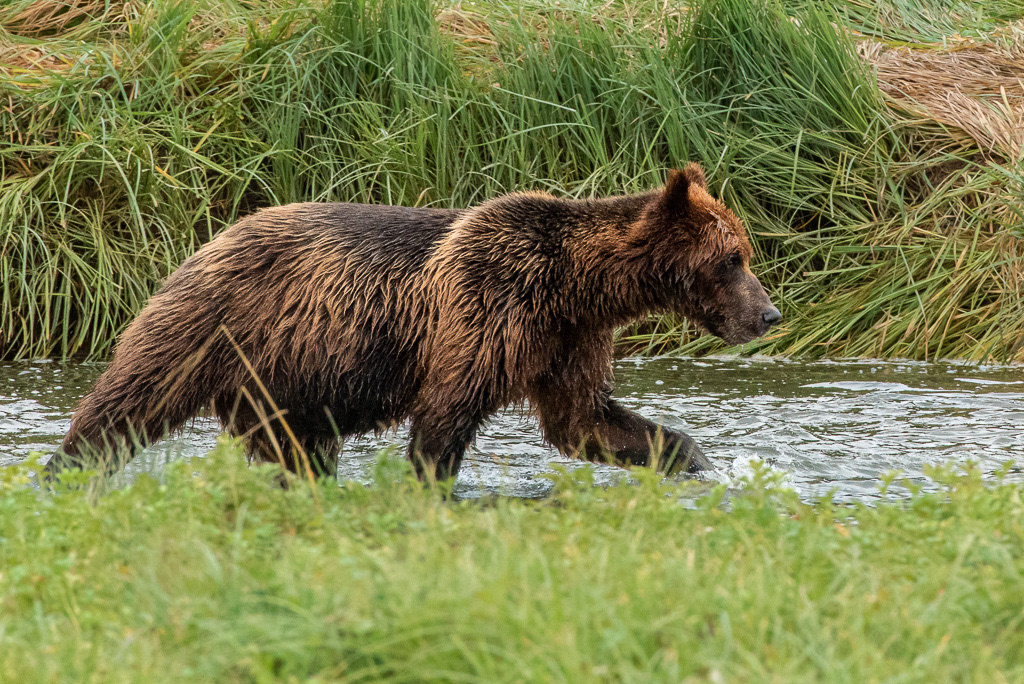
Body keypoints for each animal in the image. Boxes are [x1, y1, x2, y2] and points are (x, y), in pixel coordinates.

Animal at [44, 163, 781, 483]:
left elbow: (585, 419)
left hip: (282, 379)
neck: (571, 285)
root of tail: (209, 238)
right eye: (734, 258)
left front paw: (695, 460)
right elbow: (446, 416)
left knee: (298, 446)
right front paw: (432, 483)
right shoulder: (485, 308)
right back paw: (62, 470)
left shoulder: (564, 340)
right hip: (214, 324)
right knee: (129, 401)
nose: (769, 313)